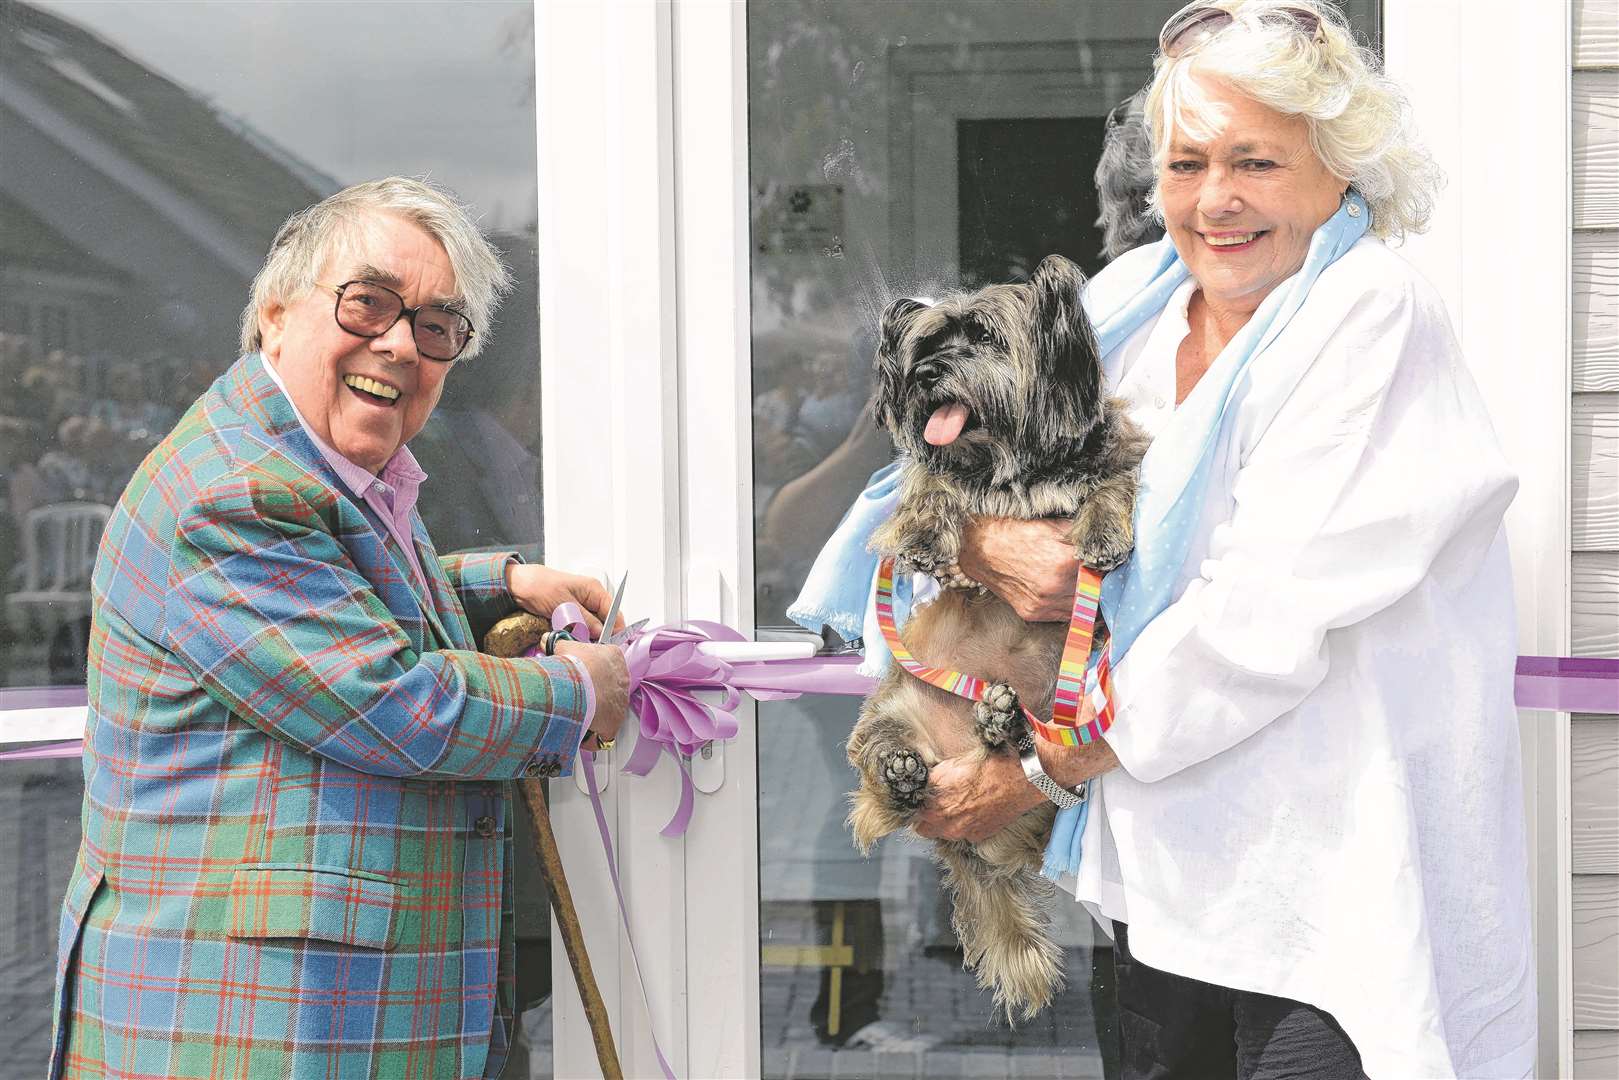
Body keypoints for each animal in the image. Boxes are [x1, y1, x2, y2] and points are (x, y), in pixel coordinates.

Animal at [848, 250, 1152, 1023]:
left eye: (983, 338)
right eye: (928, 344)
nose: (927, 374)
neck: (1005, 462)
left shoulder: (1118, 455)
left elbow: (1116, 483)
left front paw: (1103, 532)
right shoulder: (933, 475)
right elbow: (925, 485)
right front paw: (927, 534)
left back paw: (1000, 724)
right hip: (888, 713)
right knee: (876, 792)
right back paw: (907, 771)